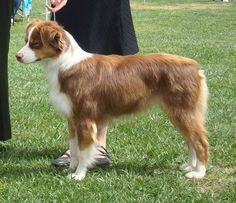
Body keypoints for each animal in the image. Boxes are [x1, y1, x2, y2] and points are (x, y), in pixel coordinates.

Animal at [16, 19, 208, 180]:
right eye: (26, 40)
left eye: (35, 43)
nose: (17, 56)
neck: (64, 64)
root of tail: (195, 67)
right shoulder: (72, 117)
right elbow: (74, 147)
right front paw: (70, 169)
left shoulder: (85, 117)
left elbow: (83, 149)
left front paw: (79, 175)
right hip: (177, 112)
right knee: (190, 140)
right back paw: (190, 166)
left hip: (183, 111)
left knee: (200, 141)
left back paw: (198, 172)